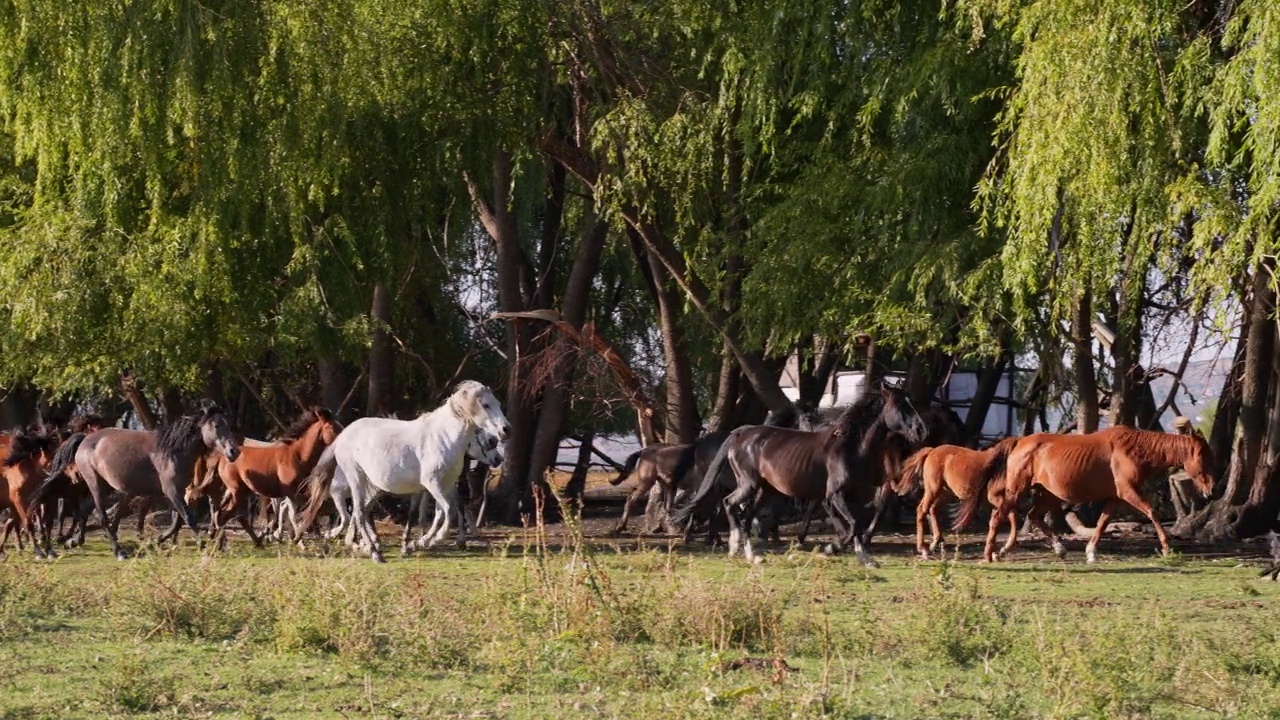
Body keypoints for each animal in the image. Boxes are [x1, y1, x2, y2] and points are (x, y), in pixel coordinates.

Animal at [188, 404, 340, 543]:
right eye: (333, 428)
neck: (298, 455)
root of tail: (223, 457)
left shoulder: (300, 493)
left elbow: (304, 512)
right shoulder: (291, 492)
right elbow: (295, 514)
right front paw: (295, 538)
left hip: (238, 491)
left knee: (222, 513)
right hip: (237, 491)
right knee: (226, 514)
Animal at [296, 381, 506, 561]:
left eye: (498, 403)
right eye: (486, 405)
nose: (506, 430)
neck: (443, 437)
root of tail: (343, 435)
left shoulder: (441, 487)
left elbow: (436, 512)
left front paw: (415, 543)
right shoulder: (432, 485)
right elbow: (447, 511)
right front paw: (423, 542)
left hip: (371, 486)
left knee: (360, 512)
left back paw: (362, 544)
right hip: (356, 479)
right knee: (358, 512)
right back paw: (372, 551)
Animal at [665, 384, 926, 563]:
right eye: (900, 405)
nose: (920, 430)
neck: (849, 446)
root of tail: (741, 432)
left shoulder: (846, 497)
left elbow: (854, 526)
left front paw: (862, 556)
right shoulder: (833, 495)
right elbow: (851, 526)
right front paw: (832, 549)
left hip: (765, 490)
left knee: (745, 515)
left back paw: (751, 555)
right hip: (749, 484)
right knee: (729, 504)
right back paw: (734, 546)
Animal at [890, 435, 1018, 558]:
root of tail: (931, 451)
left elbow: (995, 521)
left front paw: (994, 552)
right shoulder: (995, 498)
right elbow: (1012, 515)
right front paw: (1004, 549)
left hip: (946, 493)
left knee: (932, 509)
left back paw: (936, 542)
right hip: (933, 489)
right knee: (922, 509)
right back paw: (924, 549)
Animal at [957, 422, 1213, 563]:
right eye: (1202, 456)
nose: (1210, 491)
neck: (1133, 448)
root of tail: (1020, 442)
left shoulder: (1114, 498)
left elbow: (1102, 523)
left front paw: (1091, 552)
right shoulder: (1128, 492)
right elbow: (1152, 512)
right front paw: (1167, 547)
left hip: (1048, 494)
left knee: (1033, 516)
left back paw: (1054, 549)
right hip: (1018, 489)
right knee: (998, 516)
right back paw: (990, 554)